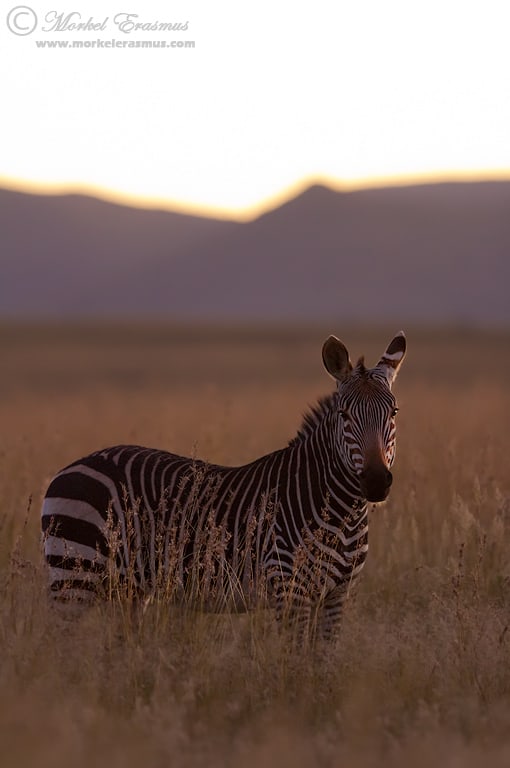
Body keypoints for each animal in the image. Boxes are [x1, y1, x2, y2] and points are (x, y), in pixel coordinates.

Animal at [41, 332, 406, 641]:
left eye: (394, 412)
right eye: (344, 415)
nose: (375, 481)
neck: (341, 514)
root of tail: (69, 467)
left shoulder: (337, 596)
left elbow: (322, 664)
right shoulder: (290, 589)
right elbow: (295, 663)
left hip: (127, 588)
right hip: (74, 576)